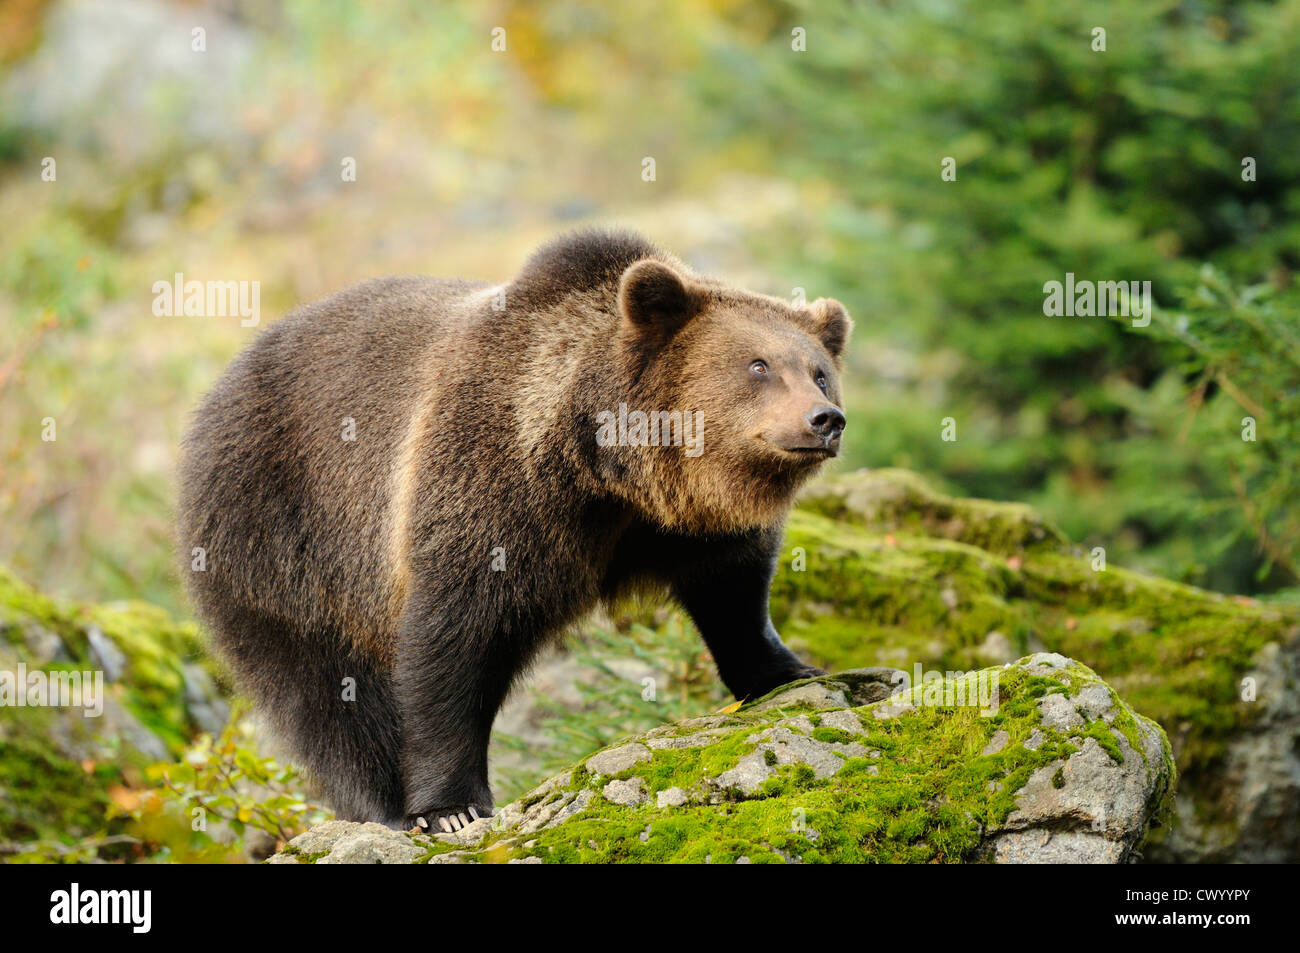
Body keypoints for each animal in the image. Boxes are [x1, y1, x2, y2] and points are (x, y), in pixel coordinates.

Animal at [177, 228, 851, 832]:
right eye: (758, 365)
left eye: (818, 371)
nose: (826, 419)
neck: (607, 471)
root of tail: (219, 386)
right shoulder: (492, 490)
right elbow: (456, 638)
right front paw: (449, 806)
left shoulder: (689, 525)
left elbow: (734, 593)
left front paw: (792, 671)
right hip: (279, 530)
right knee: (322, 687)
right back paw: (380, 803)